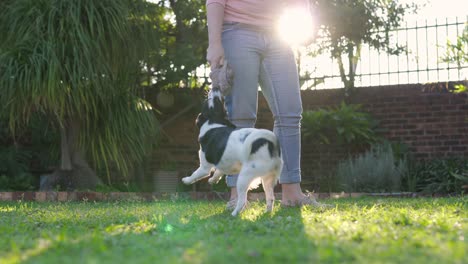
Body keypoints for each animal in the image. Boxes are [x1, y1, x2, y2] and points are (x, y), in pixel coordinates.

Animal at [182, 88, 284, 217]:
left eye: (214, 100)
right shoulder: (222, 163)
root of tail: (271, 144)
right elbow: (218, 172)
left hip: (244, 178)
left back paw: (234, 213)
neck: (213, 123)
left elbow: (195, 175)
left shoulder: (204, 167)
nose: (215, 88)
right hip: (267, 179)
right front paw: (213, 180)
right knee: (270, 197)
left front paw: (186, 180)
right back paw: (266, 213)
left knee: (242, 200)